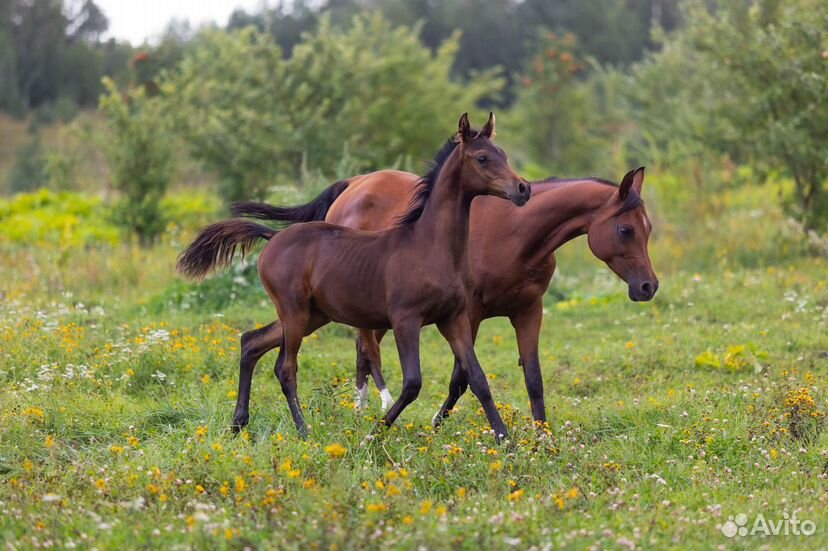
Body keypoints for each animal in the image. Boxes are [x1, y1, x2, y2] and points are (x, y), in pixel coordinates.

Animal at [178, 114, 532, 442]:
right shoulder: (405, 320)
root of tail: (273, 237)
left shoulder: (453, 318)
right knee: (285, 368)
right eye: (482, 158)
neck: (431, 246)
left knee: (251, 342)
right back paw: (303, 430)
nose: (523, 188)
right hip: (294, 311)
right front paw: (371, 435)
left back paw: (238, 424)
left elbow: (477, 378)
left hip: (313, 315)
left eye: (502, 154)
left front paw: (505, 440)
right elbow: (413, 383)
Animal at [233, 166, 660, 424]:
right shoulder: (467, 313)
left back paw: (361, 408)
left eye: (648, 227)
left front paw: (543, 437)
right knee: (365, 348)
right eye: (625, 229)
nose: (648, 287)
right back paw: (377, 405)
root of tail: (352, 184)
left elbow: (534, 378)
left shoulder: (528, 310)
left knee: (357, 350)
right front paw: (437, 425)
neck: (517, 234)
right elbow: (462, 379)